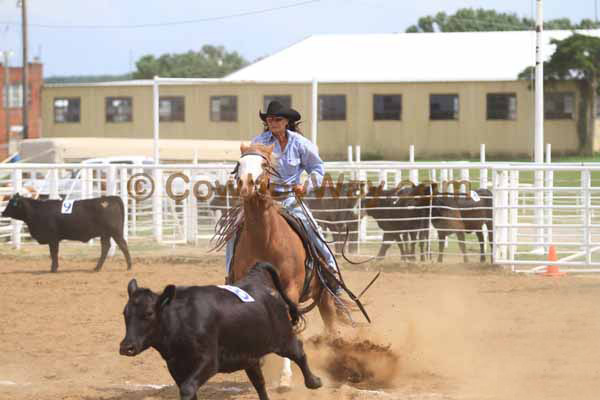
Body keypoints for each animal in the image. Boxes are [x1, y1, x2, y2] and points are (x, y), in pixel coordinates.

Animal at [1, 194, 132, 272]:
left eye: (11, 204)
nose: (3, 213)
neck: (37, 211)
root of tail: (111, 198)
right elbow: (53, 253)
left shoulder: (53, 238)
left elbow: (53, 253)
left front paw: (53, 269)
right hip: (105, 234)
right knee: (106, 247)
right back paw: (97, 268)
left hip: (115, 232)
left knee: (123, 245)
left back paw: (129, 266)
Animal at [119, 262, 322, 400]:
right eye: (125, 313)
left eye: (149, 313)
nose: (126, 347)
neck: (181, 320)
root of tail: (256, 281)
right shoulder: (176, 367)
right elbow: (188, 390)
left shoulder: (209, 361)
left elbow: (187, 388)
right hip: (249, 357)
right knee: (260, 383)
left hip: (283, 339)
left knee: (299, 352)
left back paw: (314, 381)